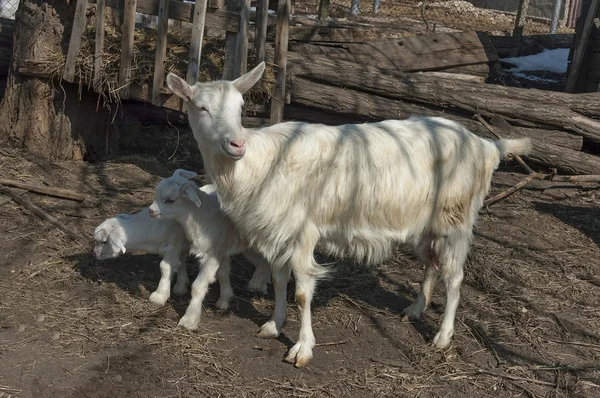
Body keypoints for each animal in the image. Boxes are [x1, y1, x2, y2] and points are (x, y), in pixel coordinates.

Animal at [164, 61, 528, 366]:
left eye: (241, 108)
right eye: (201, 107)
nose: (236, 144)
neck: (259, 165)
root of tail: (487, 146)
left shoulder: (303, 231)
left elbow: (301, 292)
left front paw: (302, 348)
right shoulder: (279, 231)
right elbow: (279, 280)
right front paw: (273, 324)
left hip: (455, 219)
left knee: (454, 277)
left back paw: (442, 335)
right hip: (427, 224)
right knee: (431, 264)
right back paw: (415, 309)